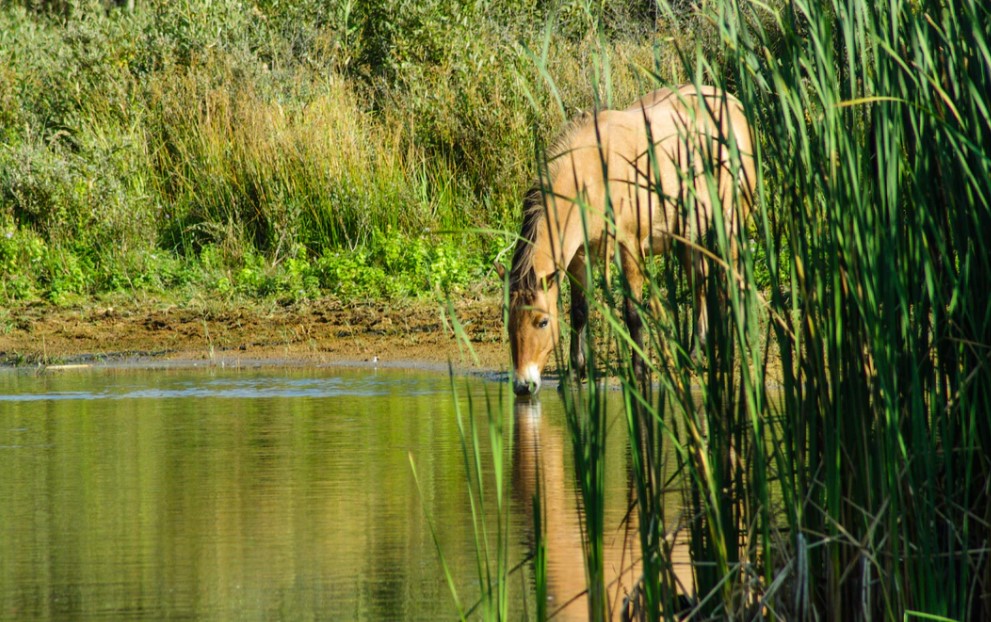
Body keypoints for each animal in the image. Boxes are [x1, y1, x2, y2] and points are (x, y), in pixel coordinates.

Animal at [500, 84, 756, 394]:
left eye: (542, 322)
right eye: (508, 322)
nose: (523, 385)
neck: (593, 173)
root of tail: (732, 102)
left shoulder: (630, 249)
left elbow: (632, 313)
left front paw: (639, 372)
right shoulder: (578, 257)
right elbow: (579, 313)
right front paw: (574, 373)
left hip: (731, 223)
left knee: (735, 276)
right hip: (686, 237)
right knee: (700, 283)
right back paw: (695, 353)